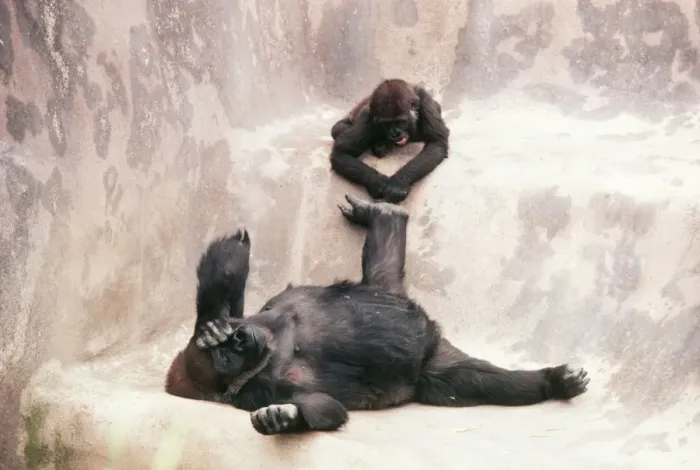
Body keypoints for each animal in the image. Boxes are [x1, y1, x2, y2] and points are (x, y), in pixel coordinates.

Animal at [165, 195, 590, 435]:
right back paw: (551, 383)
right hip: (430, 368)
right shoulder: (256, 391)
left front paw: (213, 323)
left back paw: (382, 214)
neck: (267, 349)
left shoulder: (262, 314)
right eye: (226, 360)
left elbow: (223, 287)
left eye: (230, 347)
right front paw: (284, 419)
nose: (237, 342)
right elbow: (321, 406)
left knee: (381, 262)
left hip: (382, 289)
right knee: (476, 381)